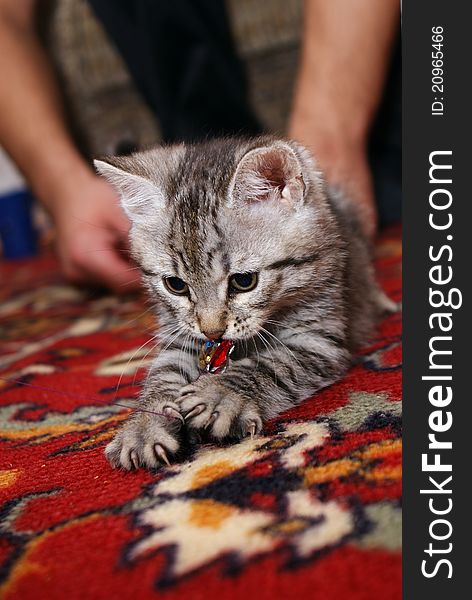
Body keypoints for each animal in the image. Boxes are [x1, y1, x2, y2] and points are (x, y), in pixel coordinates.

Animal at [94, 136, 392, 468]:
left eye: (244, 281)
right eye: (176, 285)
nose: (212, 331)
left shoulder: (320, 340)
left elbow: (273, 365)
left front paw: (220, 394)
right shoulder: (179, 338)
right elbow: (162, 374)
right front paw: (144, 425)